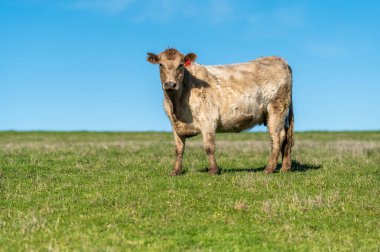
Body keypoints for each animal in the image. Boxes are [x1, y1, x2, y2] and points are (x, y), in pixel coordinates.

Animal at [146, 48, 294, 176]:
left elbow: (209, 147)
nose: (170, 84)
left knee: (277, 138)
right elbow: (179, 149)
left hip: (276, 108)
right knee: (286, 137)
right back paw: (285, 168)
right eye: (160, 64)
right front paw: (176, 171)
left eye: (181, 64)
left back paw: (269, 169)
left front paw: (213, 170)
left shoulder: (208, 120)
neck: (177, 105)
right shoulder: (174, 125)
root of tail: (279, 59)